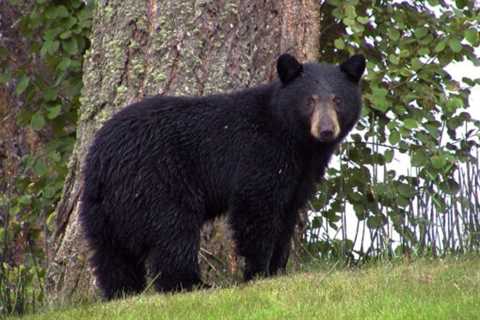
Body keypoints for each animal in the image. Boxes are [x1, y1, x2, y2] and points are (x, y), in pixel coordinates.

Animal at [79, 53, 364, 300]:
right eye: (310, 100)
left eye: (338, 100)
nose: (326, 130)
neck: (296, 140)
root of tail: (103, 157)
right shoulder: (260, 154)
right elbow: (256, 209)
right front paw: (257, 272)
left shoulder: (300, 175)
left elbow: (287, 216)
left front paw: (277, 270)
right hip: (156, 183)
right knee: (173, 233)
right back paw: (191, 284)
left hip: (101, 206)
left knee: (111, 252)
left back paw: (122, 291)